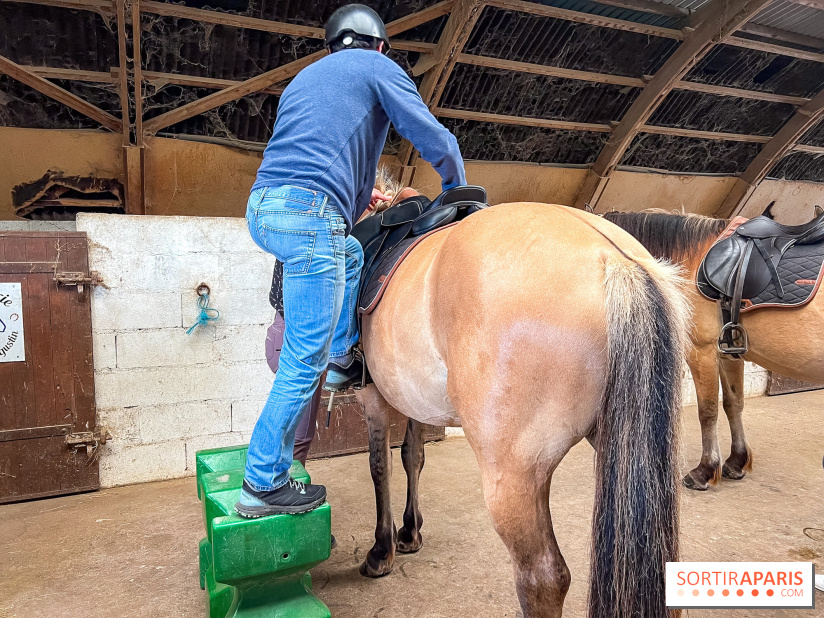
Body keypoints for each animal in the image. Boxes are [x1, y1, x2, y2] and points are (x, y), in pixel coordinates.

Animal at [351, 185, 689, 618]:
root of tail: (614, 259)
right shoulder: (413, 400)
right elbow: (413, 457)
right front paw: (409, 531)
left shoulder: (373, 396)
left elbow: (380, 466)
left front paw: (382, 551)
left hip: (513, 476)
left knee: (543, 578)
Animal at [603, 210, 824, 492]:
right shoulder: (729, 351)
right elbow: (733, 403)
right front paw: (736, 461)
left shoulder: (702, 351)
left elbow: (707, 410)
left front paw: (705, 470)